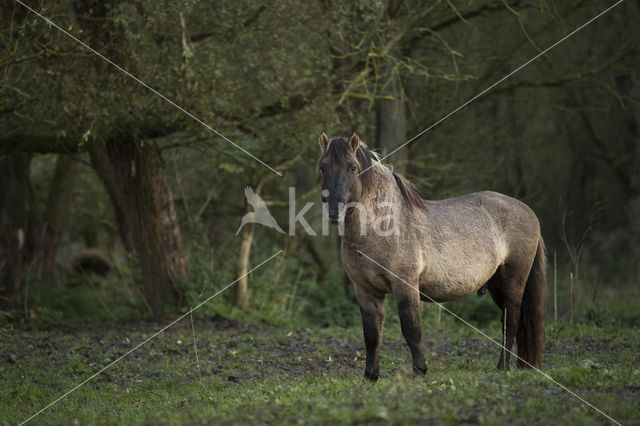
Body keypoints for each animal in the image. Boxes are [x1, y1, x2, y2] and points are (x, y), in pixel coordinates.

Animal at [318, 131, 548, 382]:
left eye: (352, 167)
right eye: (322, 167)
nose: (334, 210)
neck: (383, 227)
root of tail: (528, 211)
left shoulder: (405, 285)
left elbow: (411, 330)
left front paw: (420, 370)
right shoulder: (366, 291)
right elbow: (371, 335)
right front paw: (371, 376)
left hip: (513, 280)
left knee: (511, 320)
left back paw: (502, 367)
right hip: (496, 284)